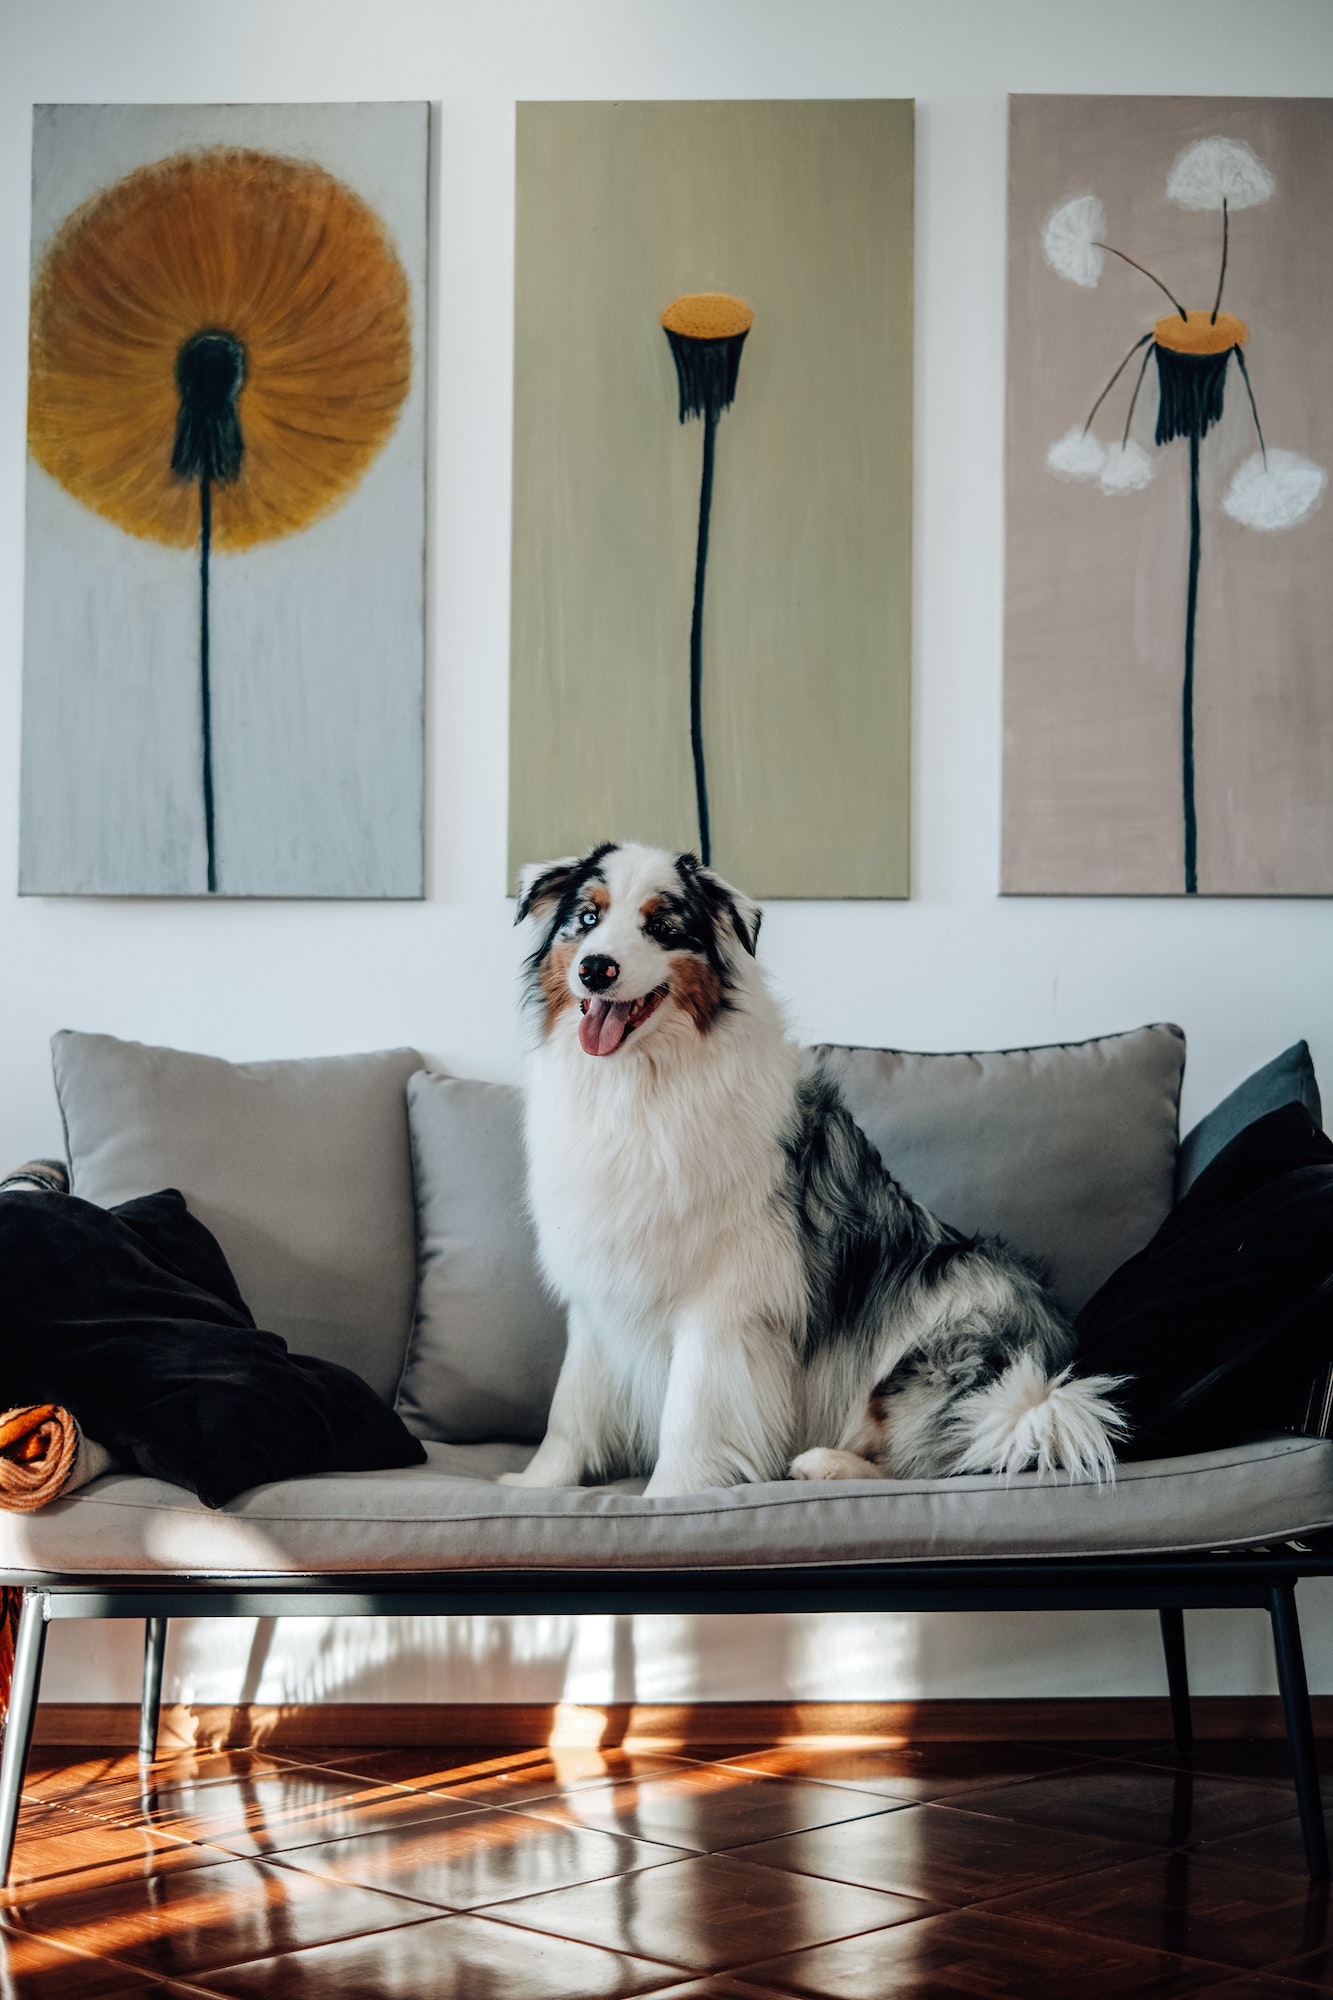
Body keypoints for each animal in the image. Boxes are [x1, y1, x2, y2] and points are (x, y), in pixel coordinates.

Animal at [504, 836, 1128, 1496]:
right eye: (587, 918)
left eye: (661, 927)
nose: (596, 967)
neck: (637, 1086)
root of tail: (1056, 1358)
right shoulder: (597, 1291)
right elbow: (570, 1407)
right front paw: (534, 1485)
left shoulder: (724, 1299)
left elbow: (690, 1413)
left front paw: (669, 1497)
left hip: (961, 1295)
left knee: (949, 1454)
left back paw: (826, 1464)